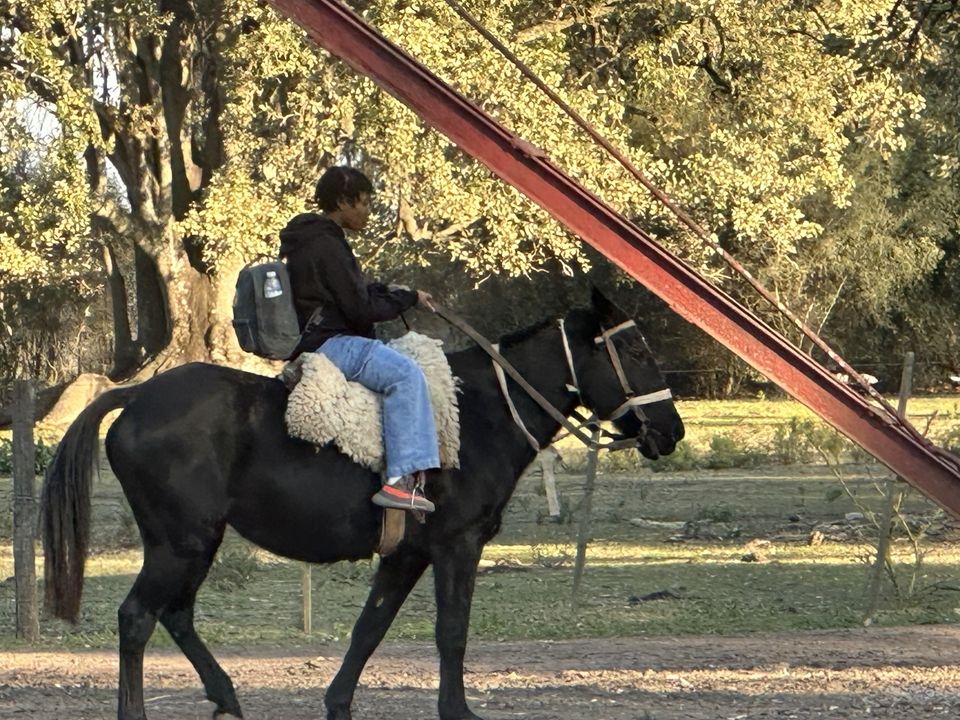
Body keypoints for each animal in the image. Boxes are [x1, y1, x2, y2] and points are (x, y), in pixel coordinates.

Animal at [43, 288, 684, 720]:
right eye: (633, 349)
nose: (671, 430)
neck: (481, 411)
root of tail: (137, 396)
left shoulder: (405, 555)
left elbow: (369, 628)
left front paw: (339, 703)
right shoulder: (457, 546)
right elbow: (452, 630)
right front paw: (457, 709)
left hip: (195, 543)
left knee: (174, 615)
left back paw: (226, 695)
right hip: (181, 542)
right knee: (138, 618)